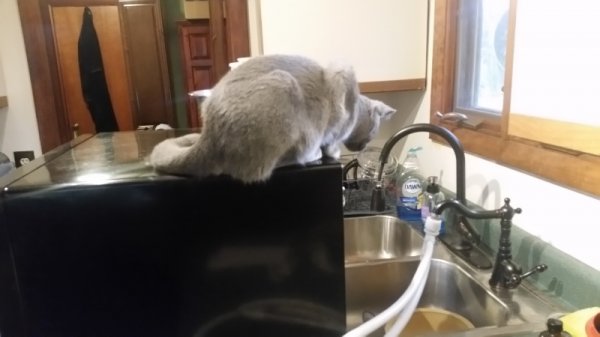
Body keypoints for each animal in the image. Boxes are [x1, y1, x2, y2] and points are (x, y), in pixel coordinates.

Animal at [149, 53, 394, 182]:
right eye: (373, 133)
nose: (363, 146)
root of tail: (209, 133)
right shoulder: (340, 78)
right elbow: (332, 139)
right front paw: (332, 152)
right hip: (283, 84)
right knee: (263, 168)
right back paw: (310, 154)